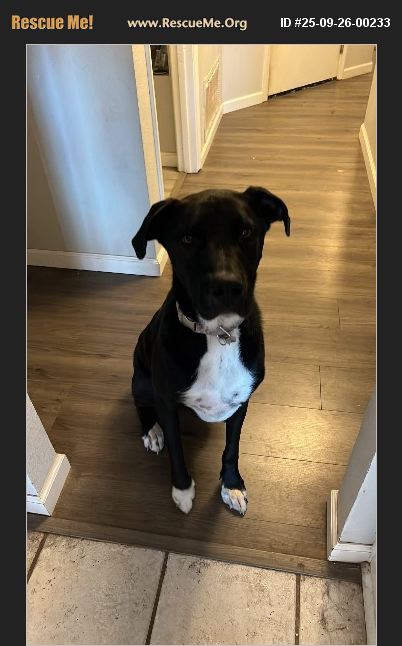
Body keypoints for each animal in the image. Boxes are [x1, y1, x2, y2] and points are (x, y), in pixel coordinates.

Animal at [131, 186, 290, 515]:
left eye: (246, 232)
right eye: (188, 239)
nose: (227, 287)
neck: (218, 335)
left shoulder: (241, 401)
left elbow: (232, 448)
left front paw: (232, 485)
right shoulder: (166, 401)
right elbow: (177, 451)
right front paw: (182, 490)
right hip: (142, 379)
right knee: (140, 404)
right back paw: (152, 431)